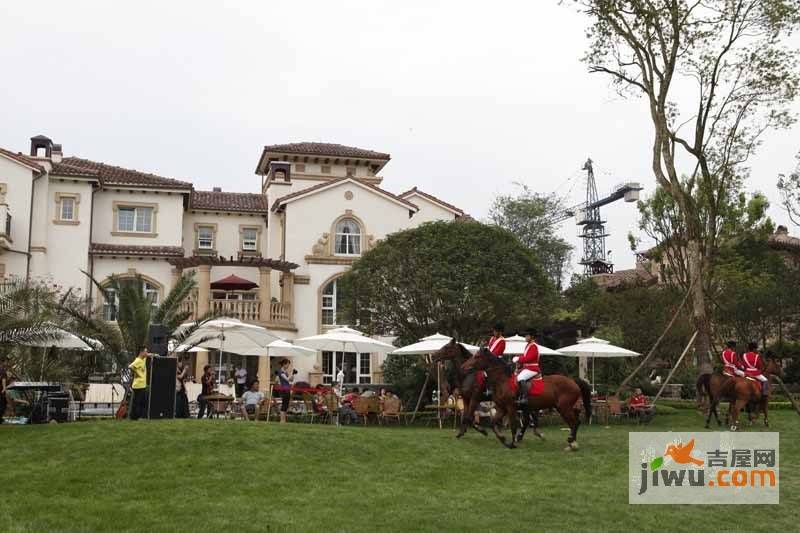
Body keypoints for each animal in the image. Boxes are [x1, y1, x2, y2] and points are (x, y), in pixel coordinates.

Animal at [460, 344, 592, 448]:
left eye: (477, 357)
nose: (463, 367)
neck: (502, 380)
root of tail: (573, 381)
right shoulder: (502, 408)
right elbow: (492, 423)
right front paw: (503, 439)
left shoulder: (510, 408)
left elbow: (513, 425)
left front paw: (512, 444)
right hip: (561, 408)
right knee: (575, 422)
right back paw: (571, 441)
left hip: (564, 408)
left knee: (575, 422)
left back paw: (571, 442)